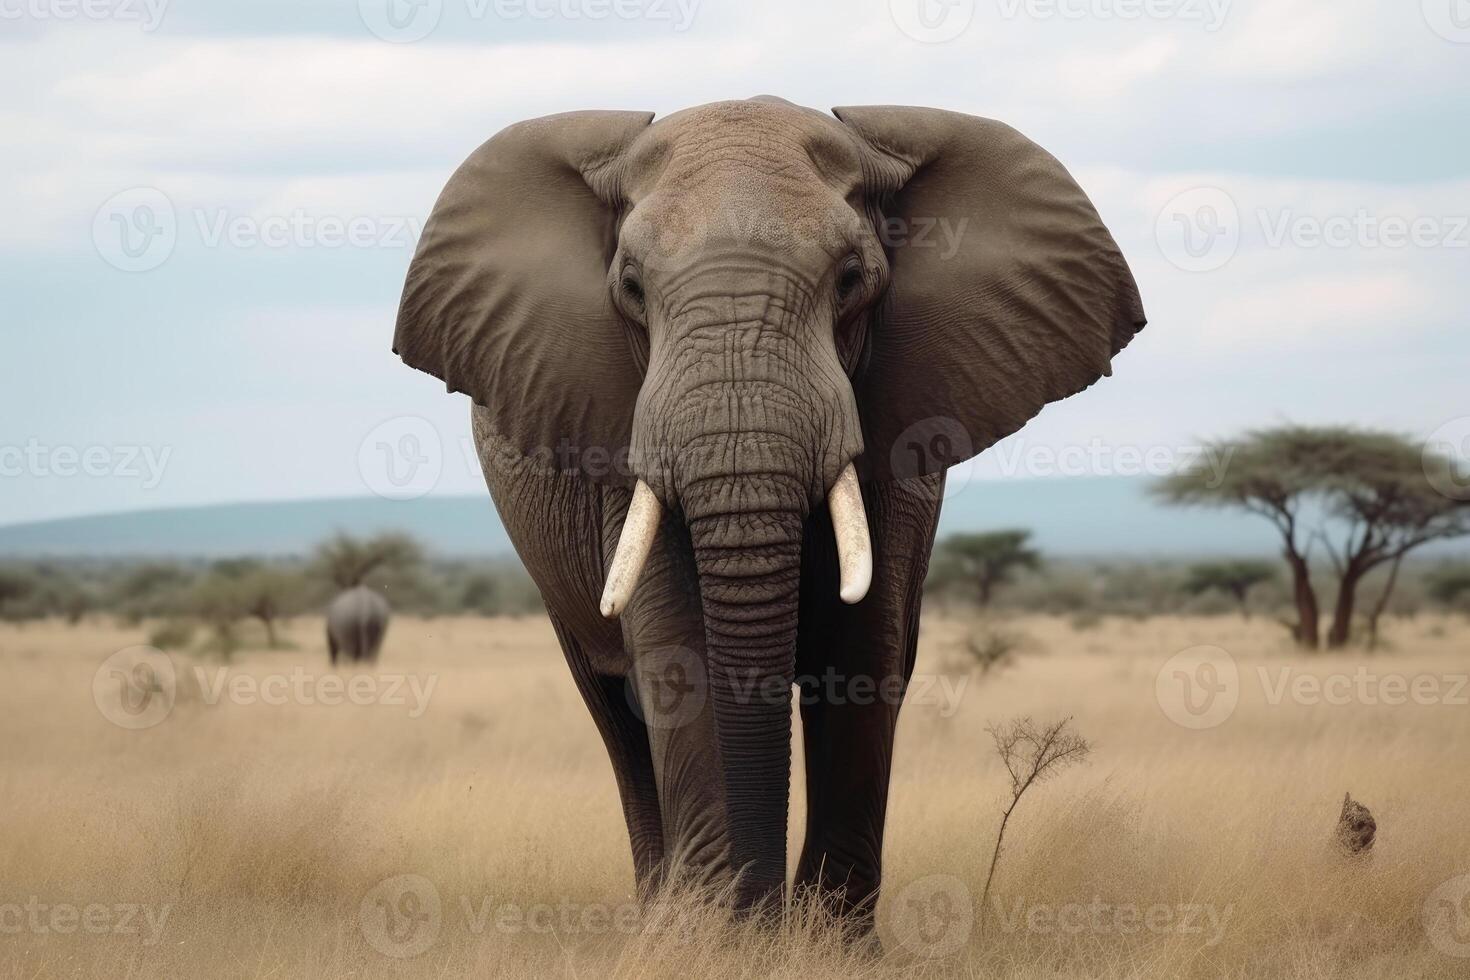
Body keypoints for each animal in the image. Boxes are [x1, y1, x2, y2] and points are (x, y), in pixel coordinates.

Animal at [393, 95, 1146, 934]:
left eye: (851, 279)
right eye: (630, 287)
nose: (760, 912)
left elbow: (862, 657)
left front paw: (823, 944)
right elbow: (679, 653)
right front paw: (716, 940)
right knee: (615, 712)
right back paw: (661, 913)